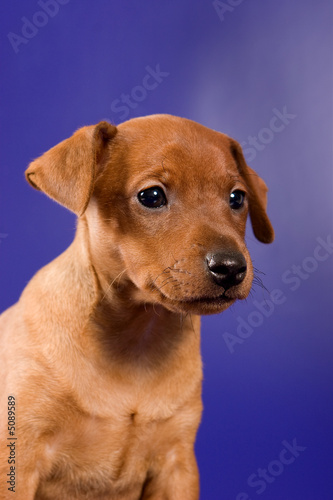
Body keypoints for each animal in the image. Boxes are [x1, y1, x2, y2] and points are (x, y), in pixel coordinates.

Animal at [0, 115, 272, 498]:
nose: (231, 268)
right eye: (152, 196)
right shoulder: (19, 460)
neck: (137, 341)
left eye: (237, 198)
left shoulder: (176, 464)